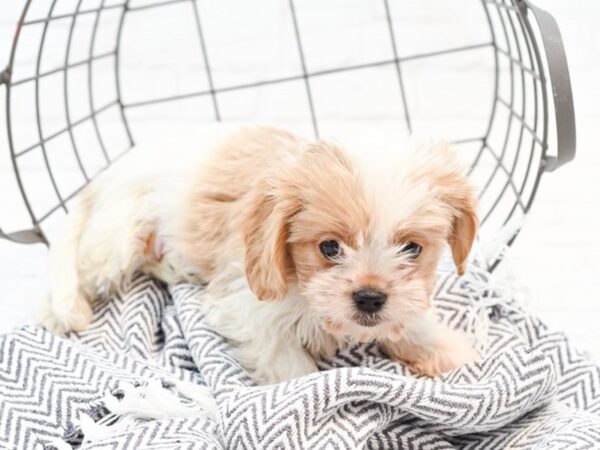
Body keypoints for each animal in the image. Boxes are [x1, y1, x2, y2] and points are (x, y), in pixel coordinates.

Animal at [42, 125, 480, 384]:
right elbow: (287, 360)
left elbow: (416, 323)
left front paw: (453, 354)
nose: (370, 297)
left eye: (412, 248)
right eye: (329, 247)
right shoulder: (244, 306)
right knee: (83, 268)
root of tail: (108, 171)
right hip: (116, 241)